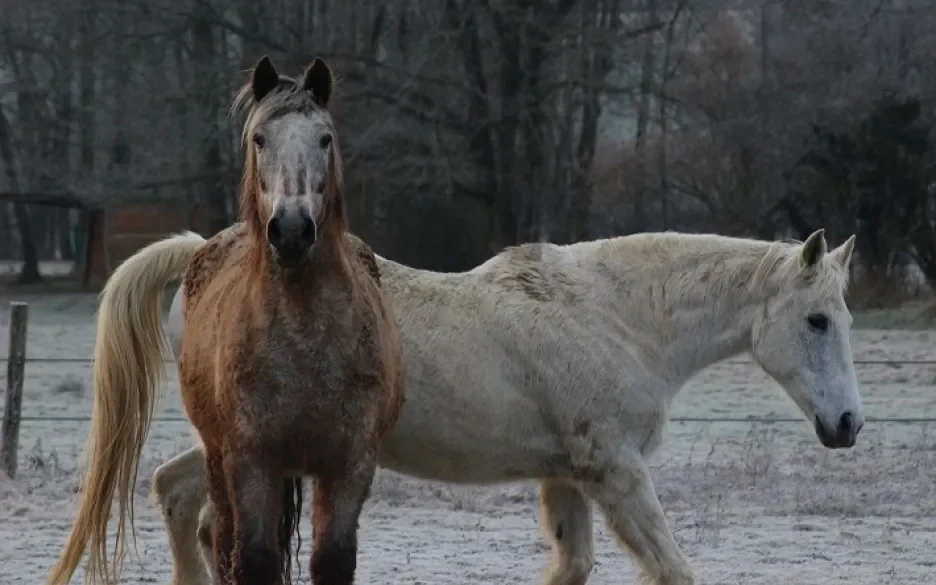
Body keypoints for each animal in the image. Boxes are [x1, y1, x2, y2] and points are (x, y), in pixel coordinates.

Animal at [44, 54, 402, 584]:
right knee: (217, 533)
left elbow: (332, 561)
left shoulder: (350, 464)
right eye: (260, 139)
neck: (306, 340)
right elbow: (252, 559)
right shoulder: (251, 462)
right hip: (218, 459)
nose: (291, 231)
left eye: (325, 138)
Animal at [141, 225, 864, 584]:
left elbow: (573, 566)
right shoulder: (618, 473)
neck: (615, 318)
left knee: (178, 498)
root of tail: (204, 261)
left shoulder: (569, 477)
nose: (848, 424)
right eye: (818, 319)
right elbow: (674, 569)